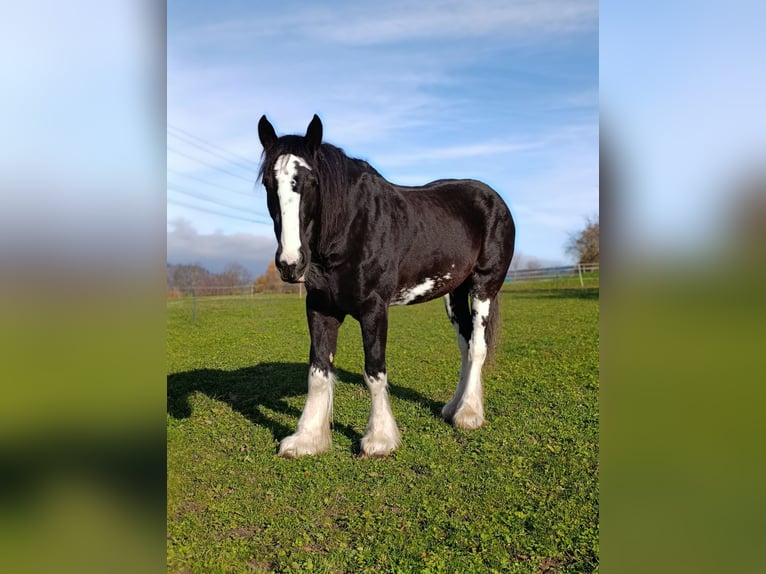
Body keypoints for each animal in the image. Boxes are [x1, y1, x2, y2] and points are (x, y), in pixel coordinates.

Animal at [257, 114, 515, 458]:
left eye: (311, 182)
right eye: (268, 184)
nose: (290, 264)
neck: (352, 228)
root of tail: (494, 199)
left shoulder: (374, 309)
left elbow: (374, 371)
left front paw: (379, 439)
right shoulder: (320, 308)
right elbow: (318, 372)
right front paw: (307, 439)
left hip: (483, 287)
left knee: (477, 347)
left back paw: (469, 414)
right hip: (454, 294)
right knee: (464, 345)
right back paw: (452, 408)